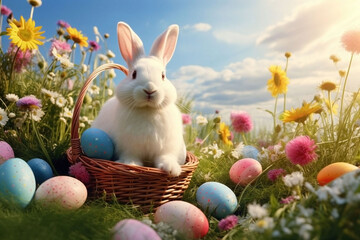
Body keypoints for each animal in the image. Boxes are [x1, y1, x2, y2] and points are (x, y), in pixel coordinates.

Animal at [90, 21, 186, 177]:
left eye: (163, 76)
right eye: (134, 74)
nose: (149, 89)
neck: (147, 110)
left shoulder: (166, 148)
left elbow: (165, 157)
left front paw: (172, 170)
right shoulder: (128, 148)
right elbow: (131, 157)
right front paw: (131, 165)